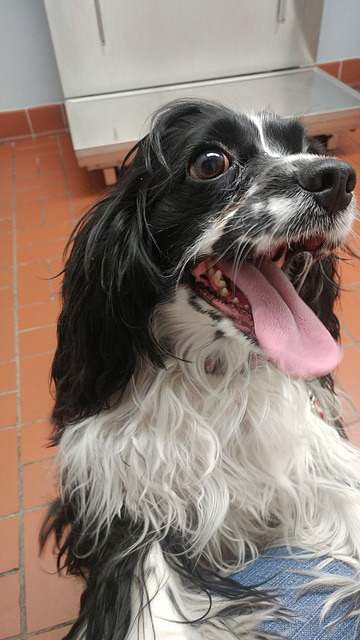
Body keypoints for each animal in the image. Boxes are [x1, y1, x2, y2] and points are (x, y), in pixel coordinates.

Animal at [40, 100, 358, 640]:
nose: (336, 177)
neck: (212, 379)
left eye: (305, 148)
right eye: (210, 162)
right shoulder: (122, 507)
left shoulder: (305, 464)